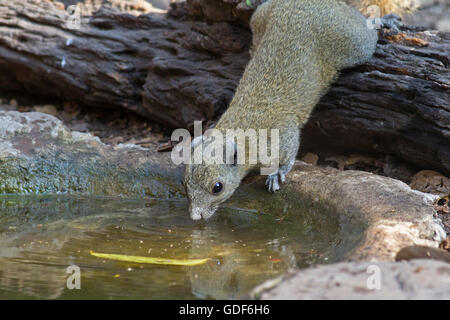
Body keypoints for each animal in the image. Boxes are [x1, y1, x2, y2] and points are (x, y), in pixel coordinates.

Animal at [181, 0, 410, 220]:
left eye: (217, 188)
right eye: (184, 182)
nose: (195, 217)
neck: (242, 128)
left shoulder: (283, 133)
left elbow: (290, 153)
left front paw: (277, 173)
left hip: (351, 40)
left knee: (366, 30)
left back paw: (383, 21)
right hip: (262, 14)